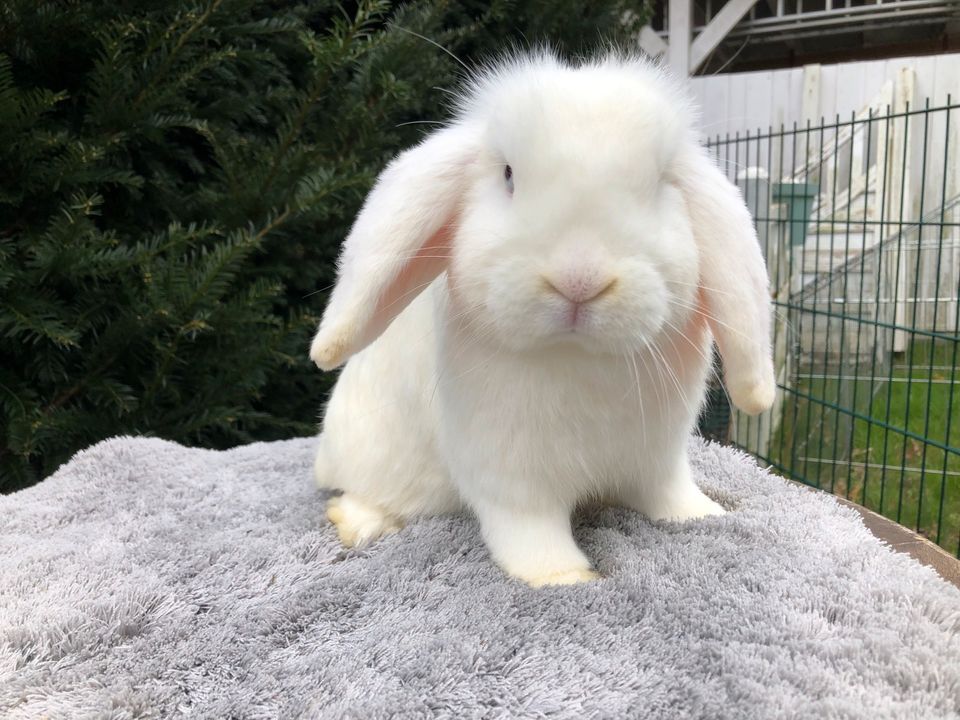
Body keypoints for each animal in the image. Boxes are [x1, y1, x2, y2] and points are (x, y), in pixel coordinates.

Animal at [312, 53, 776, 588]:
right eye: (509, 175)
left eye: (660, 183)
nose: (579, 279)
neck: (578, 357)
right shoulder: (508, 474)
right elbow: (528, 529)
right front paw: (565, 577)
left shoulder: (660, 457)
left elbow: (670, 495)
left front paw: (703, 516)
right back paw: (357, 523)